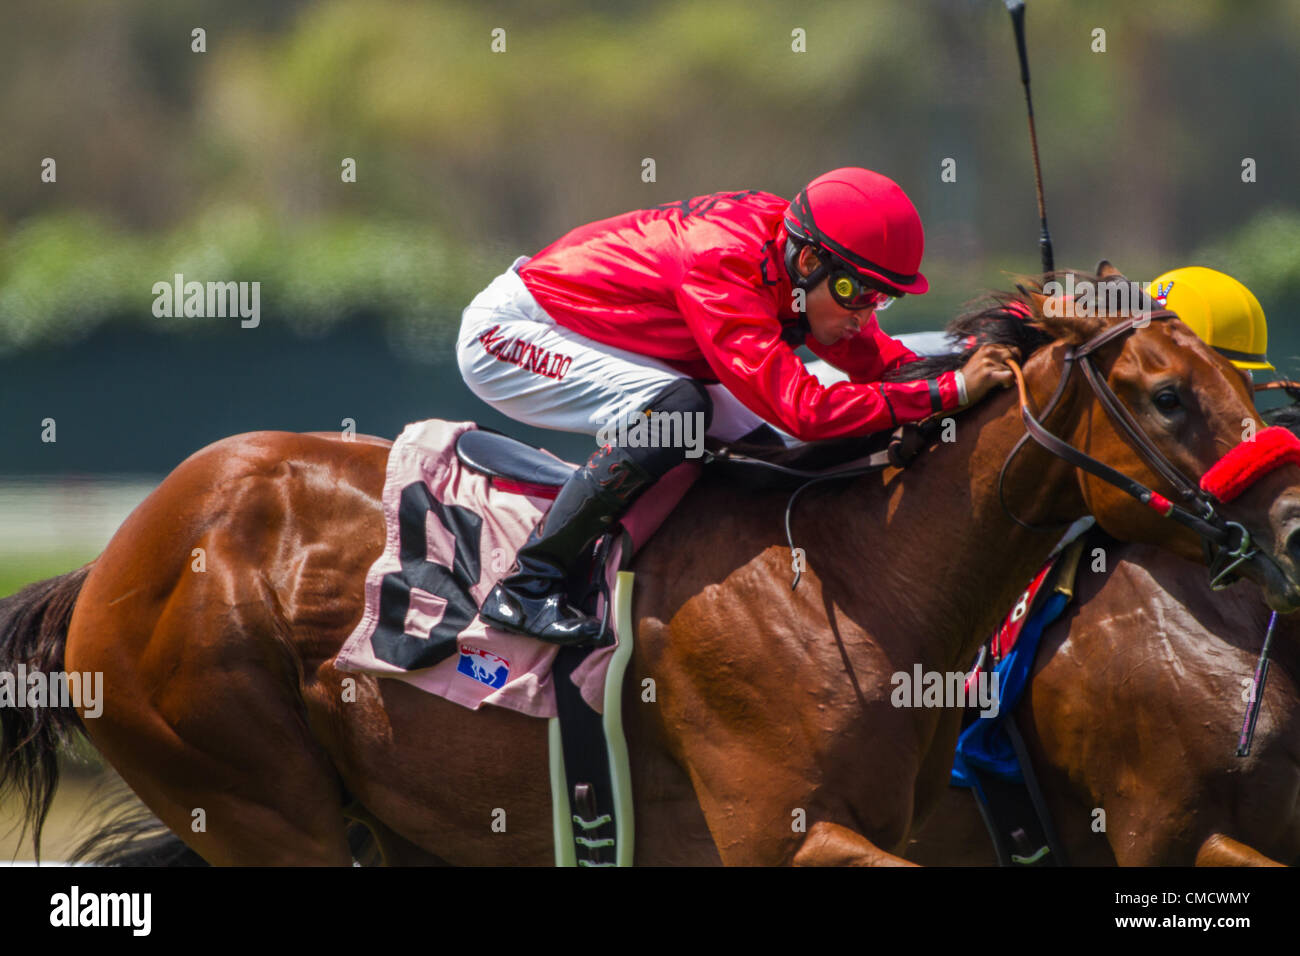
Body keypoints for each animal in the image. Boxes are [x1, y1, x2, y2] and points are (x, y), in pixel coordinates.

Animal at [7, 270, 1300, 868]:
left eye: (1256, 387)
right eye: (1169, 394)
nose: (1288, 525)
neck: (852, 576)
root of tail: (115, 555)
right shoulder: (784, 832)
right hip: (261, 803)